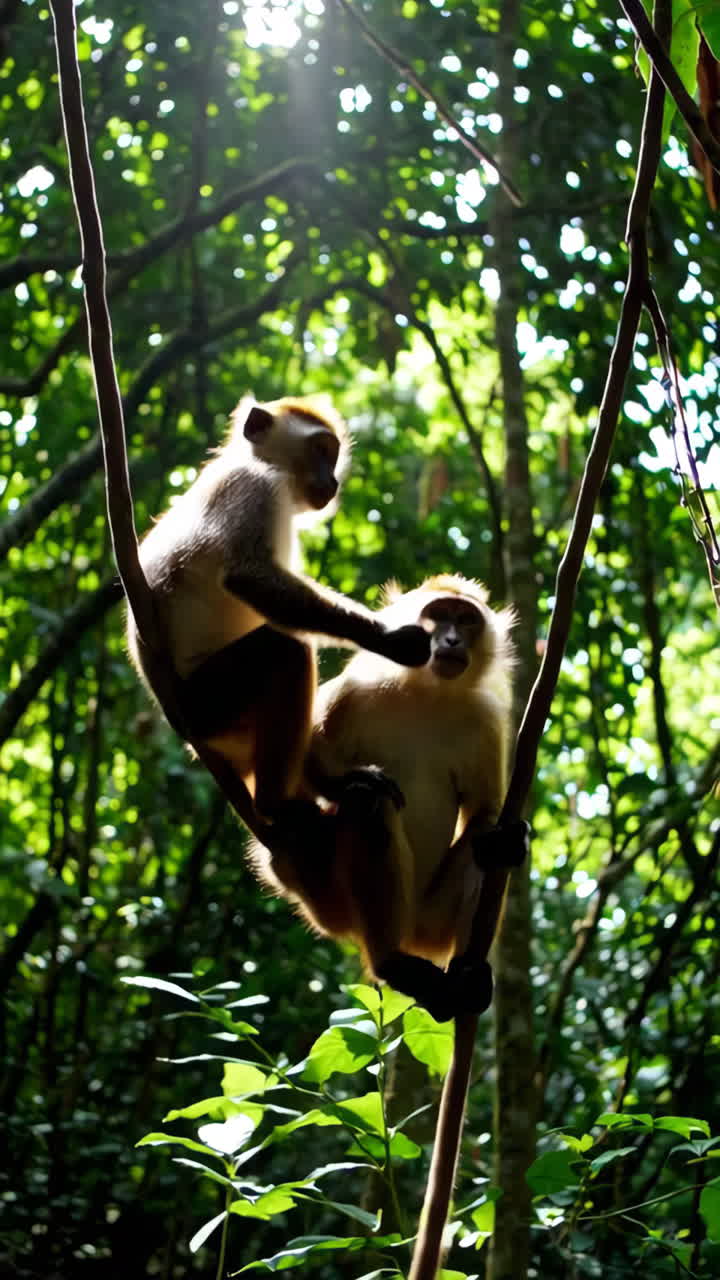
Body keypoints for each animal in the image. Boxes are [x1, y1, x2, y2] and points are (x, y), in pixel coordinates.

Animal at [126, 395, 431, 827]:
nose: (333, 481)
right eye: (321, 450)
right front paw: (389, 639)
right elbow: (248, 578)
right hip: (210, 705)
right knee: (285, 653)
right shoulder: (253, 487)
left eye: (332, 455)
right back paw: (276, 804)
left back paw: (329, 785)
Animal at [250, 574, 528, 1022]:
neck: (428, 695)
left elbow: (485, 812)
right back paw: (392, 963)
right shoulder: (353, 691)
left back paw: (465, 976)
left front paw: (508, 842)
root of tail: (408, 933)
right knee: (367, 809)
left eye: (466, 620)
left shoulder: (485, 721)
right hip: (341, 904)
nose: (452, 640)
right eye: (437, 616)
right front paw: (346, 785)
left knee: (483, 841)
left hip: (431, 923)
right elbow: (297, 768)